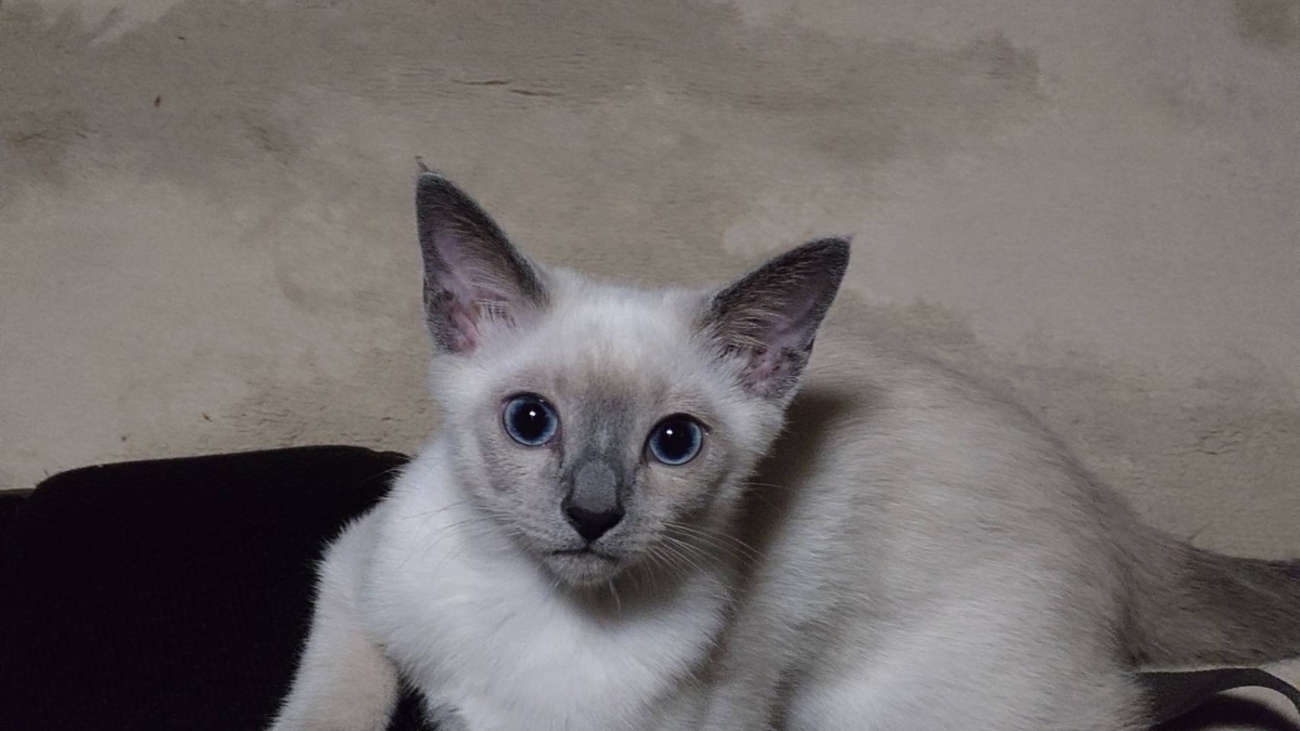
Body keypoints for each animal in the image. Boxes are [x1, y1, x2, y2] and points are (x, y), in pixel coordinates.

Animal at [268, 170, 1300, 731]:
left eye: (674, 441)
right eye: (531, 421)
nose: (592, 515)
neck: (538, 609)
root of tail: (1110, 513)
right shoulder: (354, 573)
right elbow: (330, 702)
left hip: (882, 712)